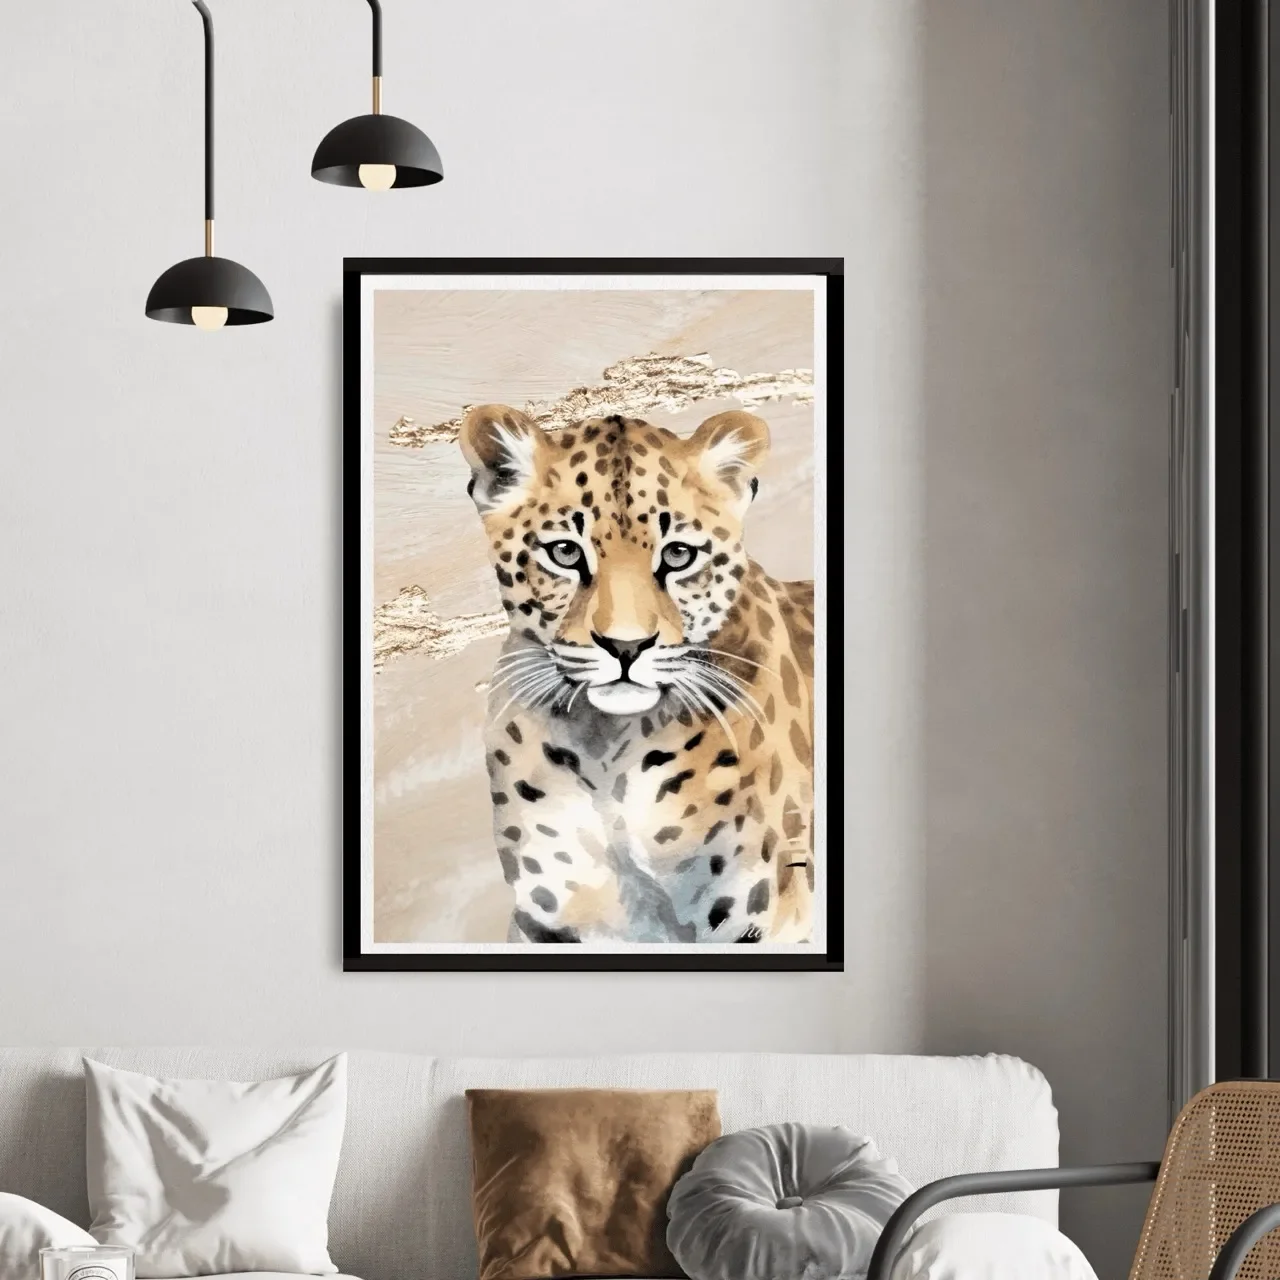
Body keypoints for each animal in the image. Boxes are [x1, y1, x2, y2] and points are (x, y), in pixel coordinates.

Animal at [459, 403, 816, 945]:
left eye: (678, 555)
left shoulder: (766, 915)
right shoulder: (549, 921)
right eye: (565, 553)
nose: (625, 646)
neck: (605, 752)